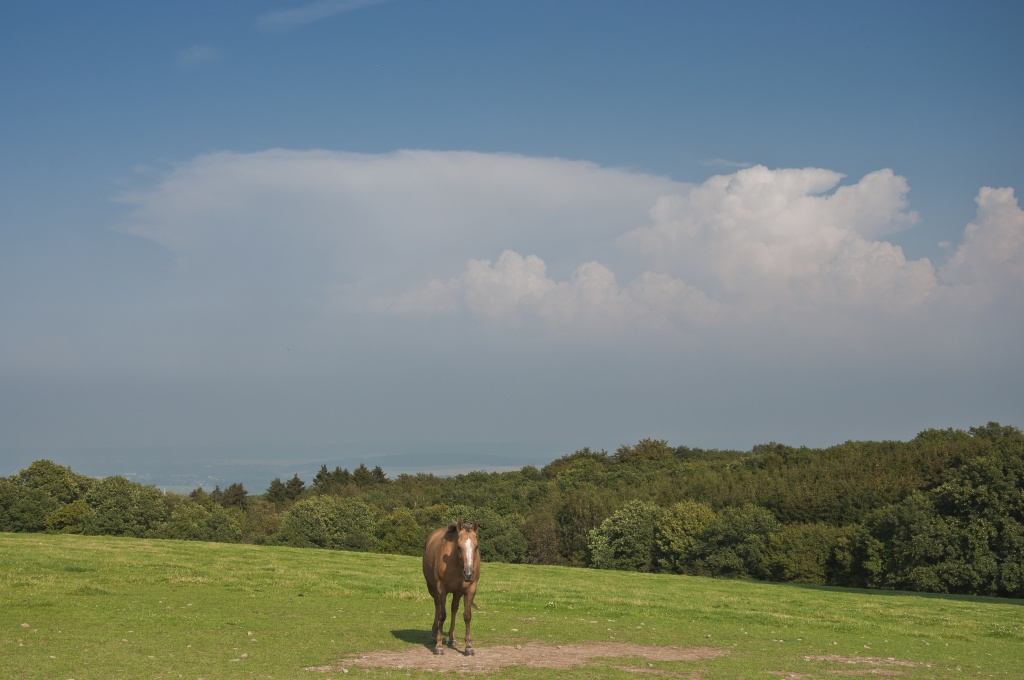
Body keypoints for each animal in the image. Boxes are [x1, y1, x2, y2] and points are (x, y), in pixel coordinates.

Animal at [421, 518, 481, 655]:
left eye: (476, 546)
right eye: (458, 547)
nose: (468, 574)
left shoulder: (470, 589)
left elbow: (467, 616)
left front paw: (468, 647)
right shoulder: (441, 588)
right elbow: (442, 615)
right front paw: (438, 646)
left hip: (457, 592)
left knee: (454, 609)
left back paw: (451, 638)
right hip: (433, 589)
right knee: (438, 606)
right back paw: (434, 635)